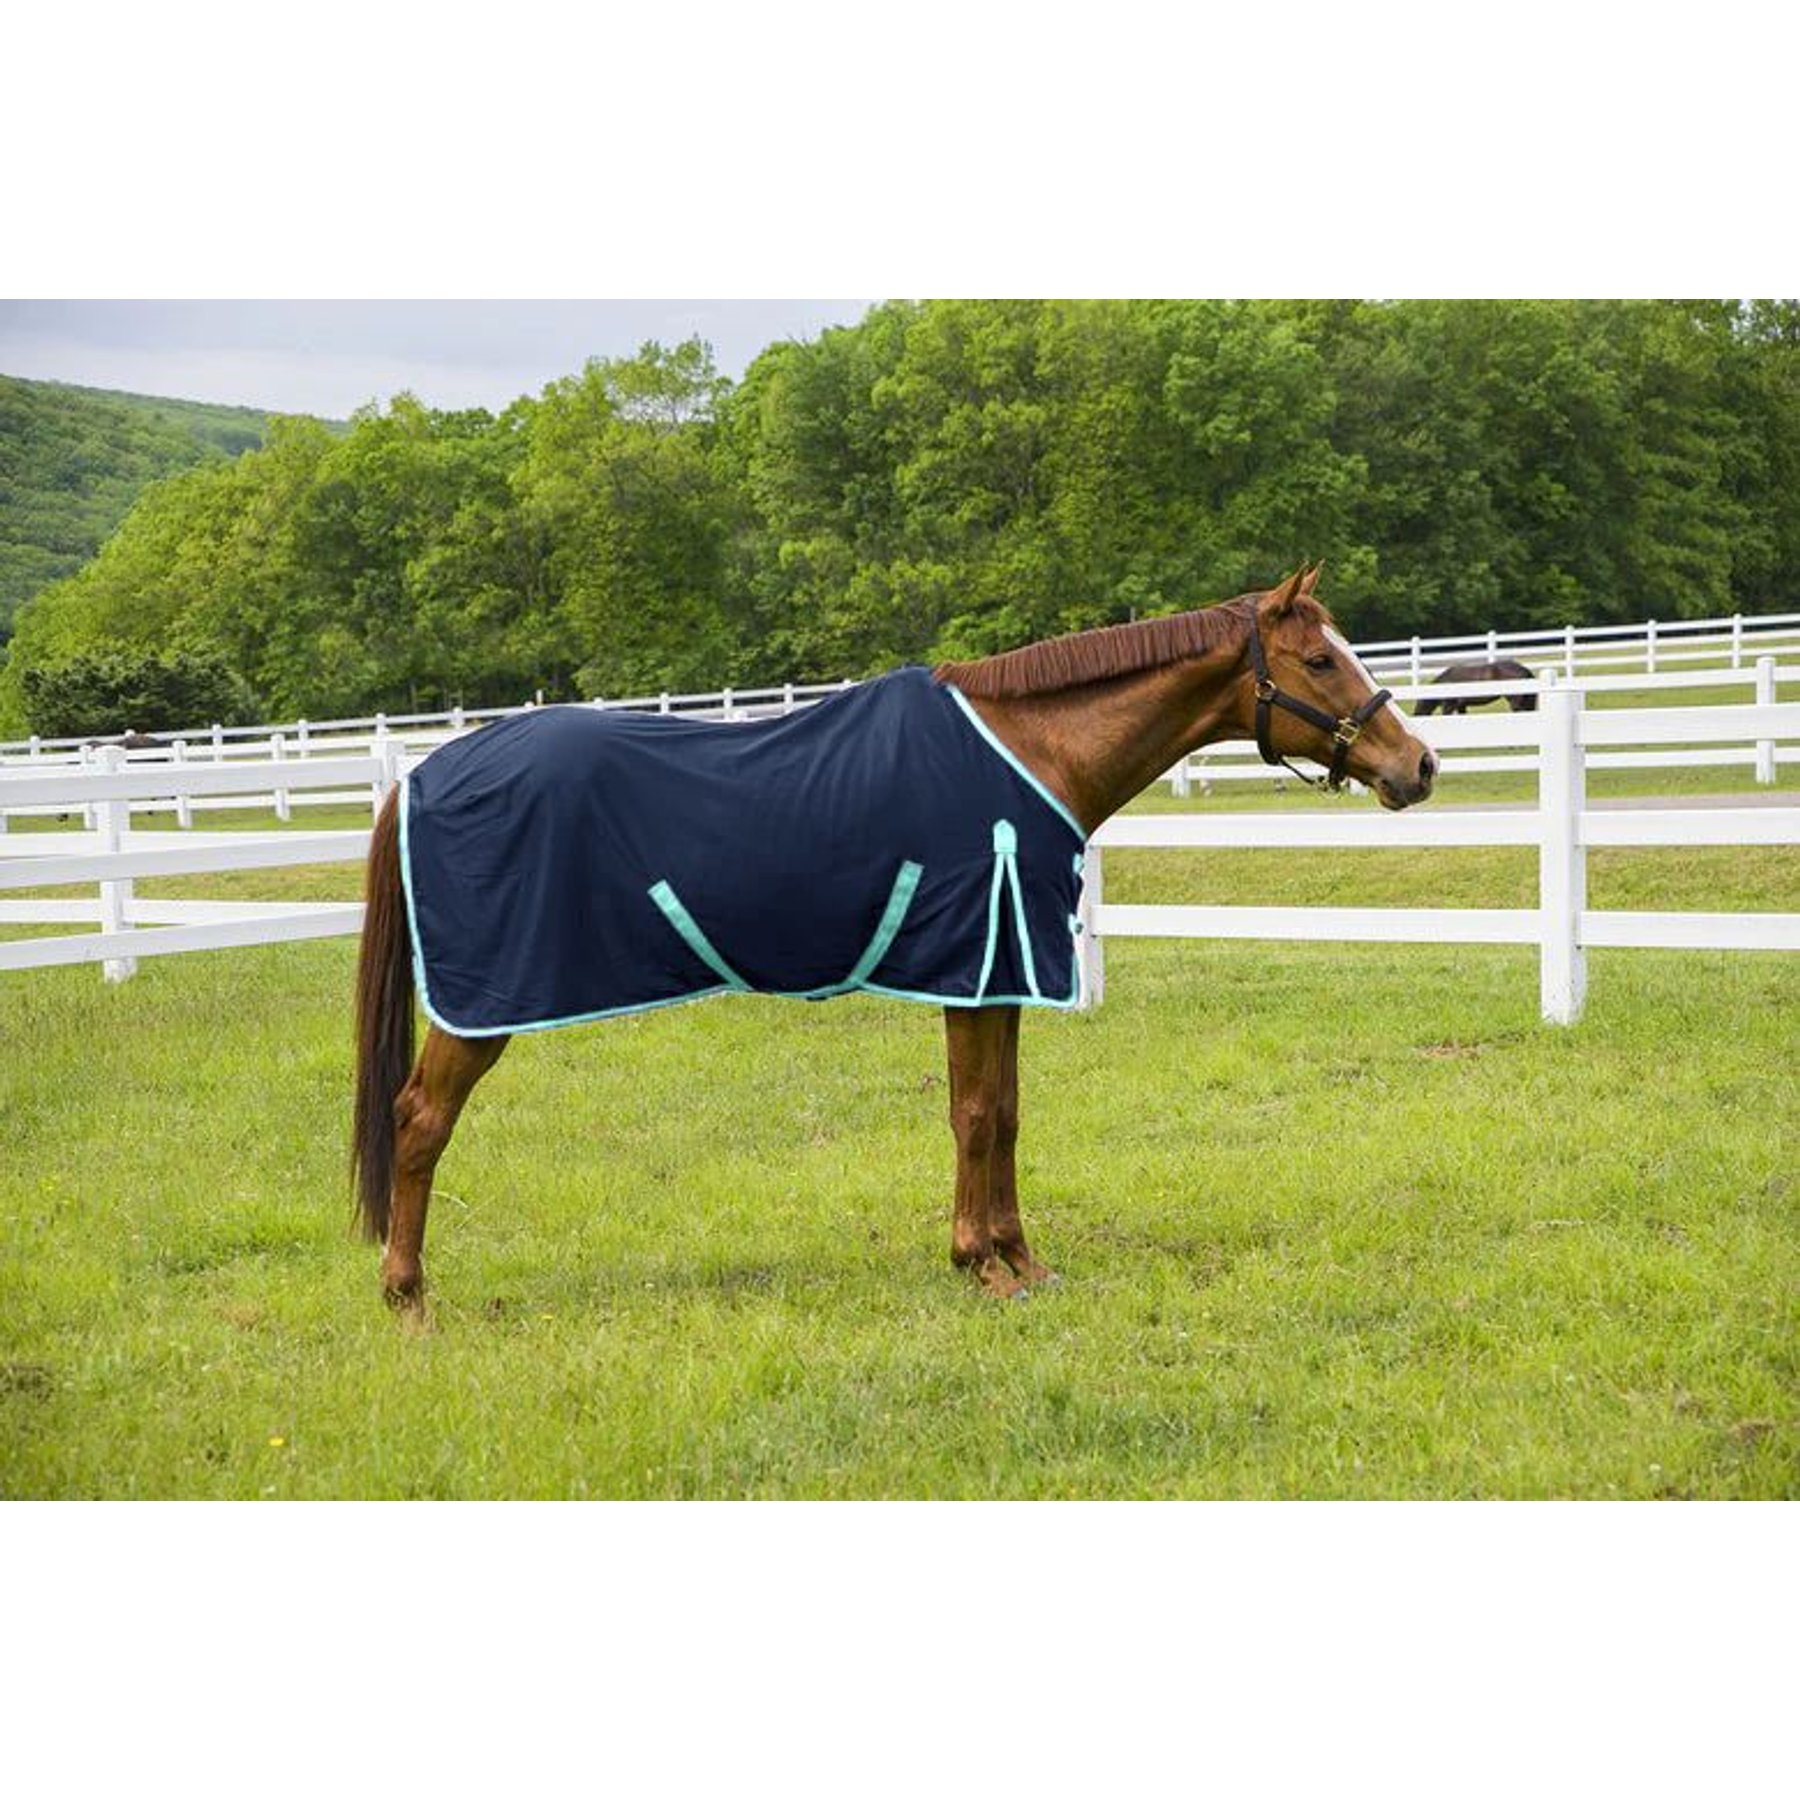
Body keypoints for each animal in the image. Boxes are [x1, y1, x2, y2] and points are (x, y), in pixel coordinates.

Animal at [349, 565, 1438, 1309]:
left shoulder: (1001, 976)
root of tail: (424, 775)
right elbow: (974, 1115)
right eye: (1318, 660)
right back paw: (407, 1296)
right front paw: (981, 1266)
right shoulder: (974, 965)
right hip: (482, 1006)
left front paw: (1021, 1258)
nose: (1418, 764)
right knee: (419, 1119)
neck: (1028, 751)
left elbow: (1006, 1114)